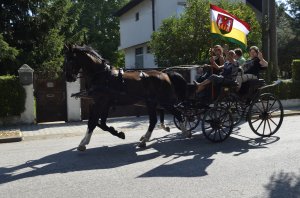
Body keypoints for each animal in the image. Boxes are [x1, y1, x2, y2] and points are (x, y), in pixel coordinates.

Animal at [63, 44, 191, 150]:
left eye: (70, 60)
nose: (68, 77)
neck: (102, 75)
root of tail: (165, 74)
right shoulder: (102, 104)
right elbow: (99, 123)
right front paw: (117, 133)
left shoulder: (101, 103)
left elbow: (93, 122)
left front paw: (84, 143)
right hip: (152, 102)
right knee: (154, 120)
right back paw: (145, 140)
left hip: (164, 102)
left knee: (177, 114)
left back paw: (186, 132)